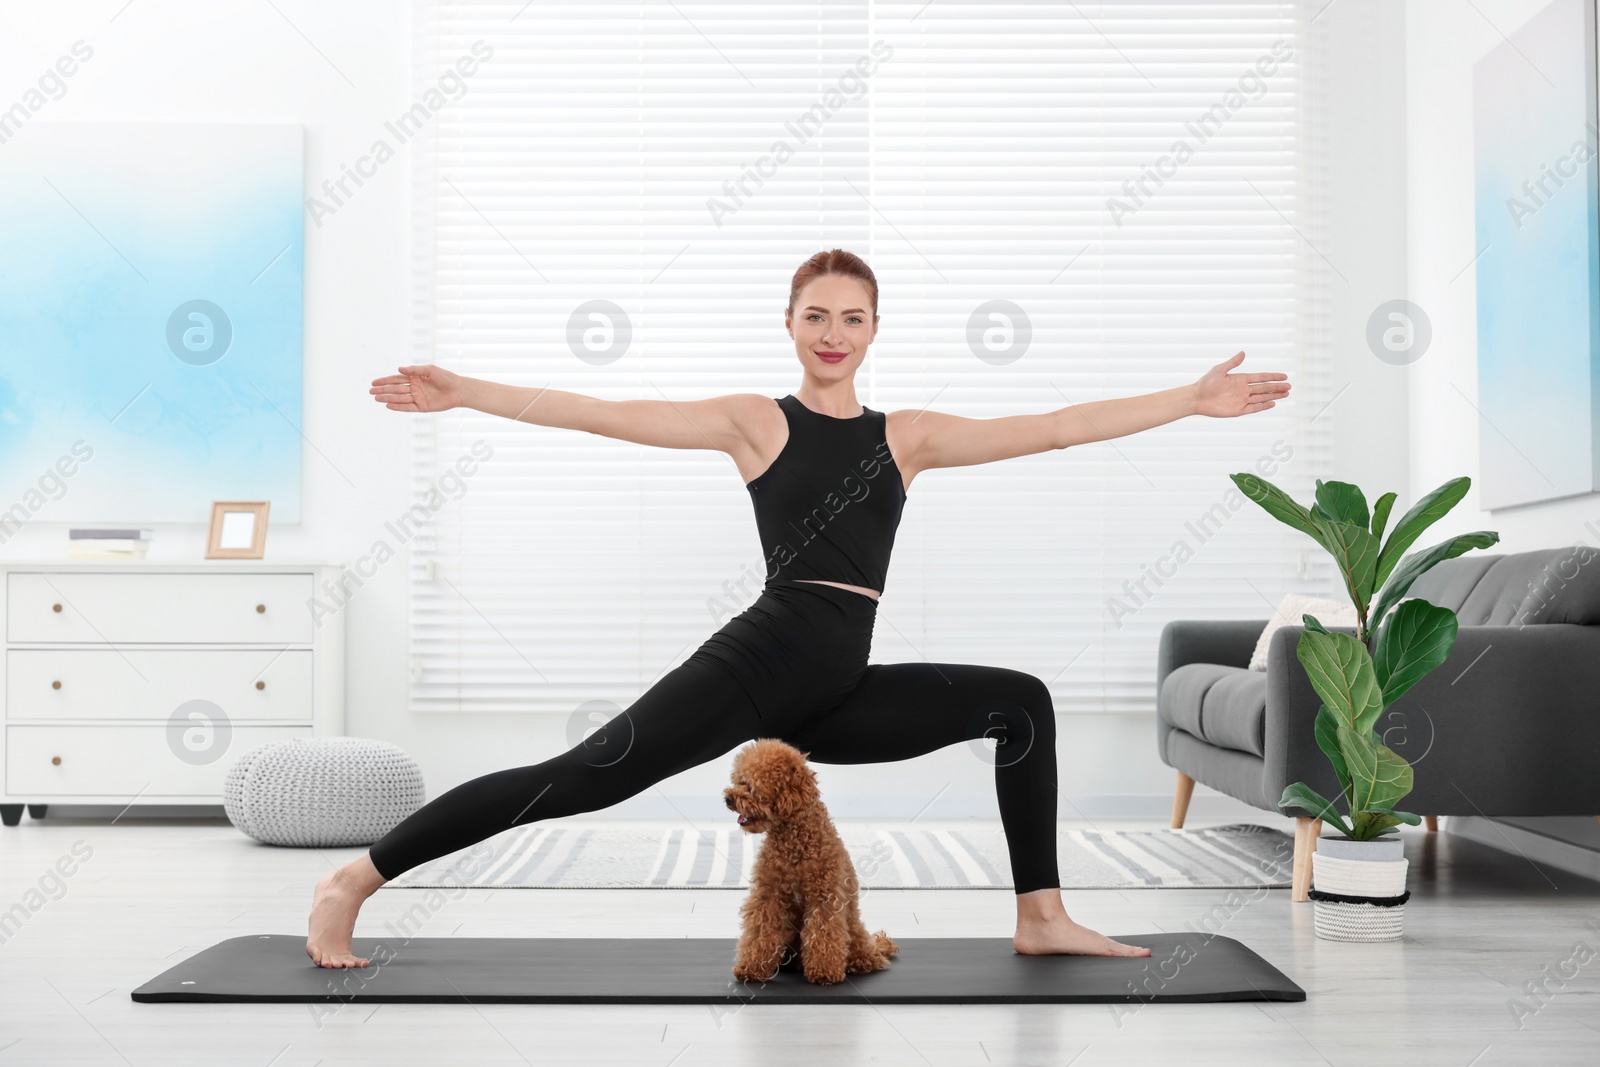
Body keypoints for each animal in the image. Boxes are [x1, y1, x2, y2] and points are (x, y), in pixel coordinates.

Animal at [726, 742, 902, 985]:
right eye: (737, 781)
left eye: (750, 786)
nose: (728, 798)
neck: (794, 840)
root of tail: (873, 945)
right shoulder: (768, 895)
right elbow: (760, 932)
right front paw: (751, 968)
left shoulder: (825, 896)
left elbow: (823, 933)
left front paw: (824, 972)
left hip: (855, 935)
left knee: (865, 956)